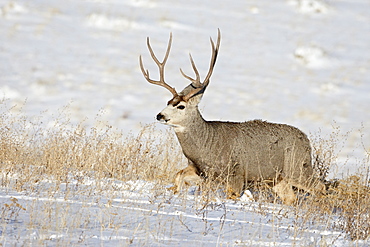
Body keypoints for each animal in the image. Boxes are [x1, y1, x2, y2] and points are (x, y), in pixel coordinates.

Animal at [140, 29, 326, 205]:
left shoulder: (236, 174)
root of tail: (306, 140)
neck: (207, 145)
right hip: (279, 179)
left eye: (180, 106)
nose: (159, 115)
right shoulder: (201, 170)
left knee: (319, 186)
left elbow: (232, 195)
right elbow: (178, 176)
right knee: (291, 198)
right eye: (168, 101)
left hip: (298, 168)